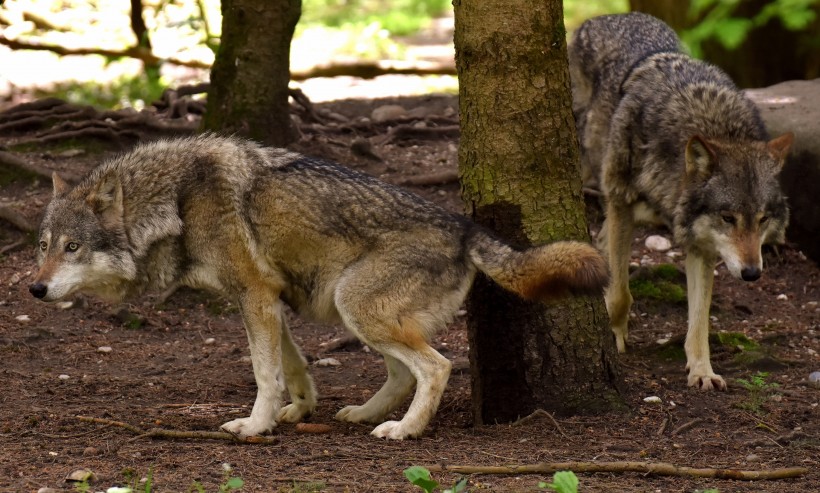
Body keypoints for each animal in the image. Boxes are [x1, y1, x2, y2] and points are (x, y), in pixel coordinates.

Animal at [27, 134, 608, 438]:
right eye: (43, 245)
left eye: (73, 248)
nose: (34, 290)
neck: (176, 203)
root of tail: (467, 229)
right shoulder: (268, 297)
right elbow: (292, 367)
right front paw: (299, 411)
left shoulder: (254, 296)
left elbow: (263, 373)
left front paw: (255, 426)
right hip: (356, 310)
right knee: (402, 373)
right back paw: (363, 415)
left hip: (357, 306)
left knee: (436, 366)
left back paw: (404, 430)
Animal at [572, 10, 796, 392]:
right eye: (728, 217)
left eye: (763, 219)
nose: (752, 273)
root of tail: (606, 17)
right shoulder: (620, 201)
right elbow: (620, 294)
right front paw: (614, 336)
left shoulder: (701, 245)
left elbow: (699, 321)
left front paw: (702, 371)